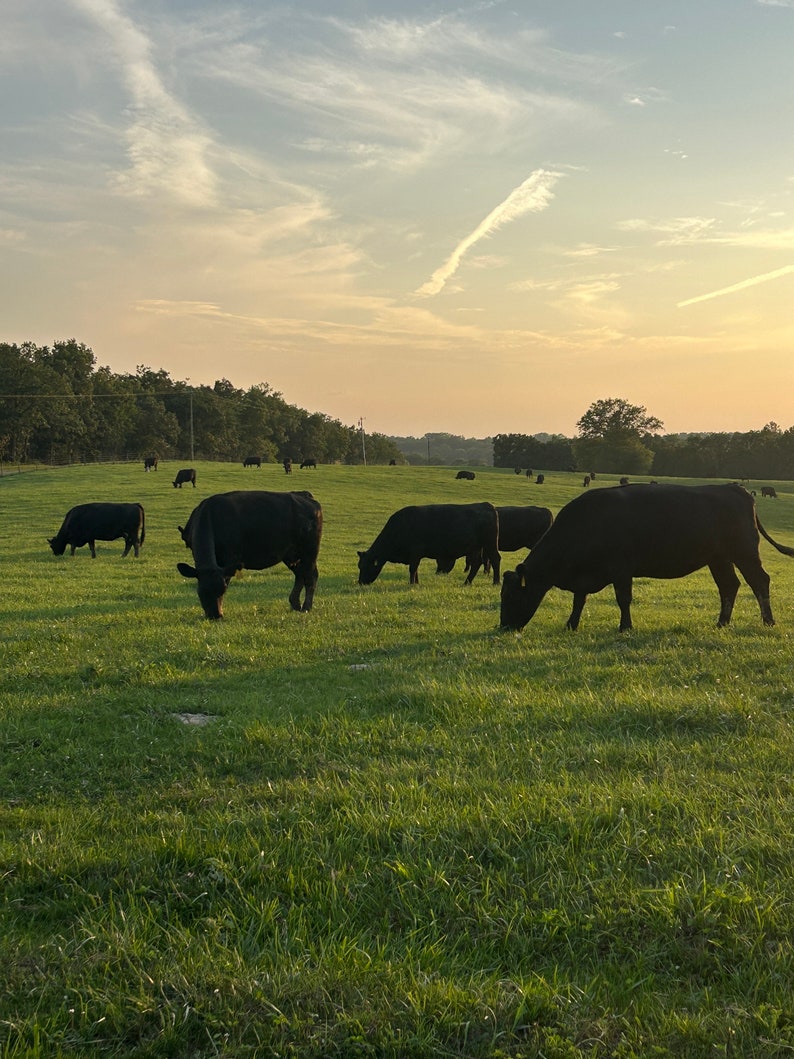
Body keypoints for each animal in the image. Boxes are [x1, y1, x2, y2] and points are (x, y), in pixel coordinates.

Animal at [176, 489, 323, 618]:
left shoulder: (230, 559)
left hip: (309, 551)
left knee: (310, 576)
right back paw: (295, 604)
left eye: (223, 590)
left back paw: (306, 607)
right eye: (201, 592)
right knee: (300, 575)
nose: (215, 616)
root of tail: (305, 495)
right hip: (291, 554)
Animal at [359, 504, 499, 588]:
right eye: (359, 566)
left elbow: (413, 569)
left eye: (366, 566)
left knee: (495, 559)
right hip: (476, 547)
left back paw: (496, 582)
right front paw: (416, 583)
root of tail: (487, 505)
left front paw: (412, 584)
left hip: (490, 544)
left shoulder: (415, 552)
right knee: (477, 563)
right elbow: (415, 570)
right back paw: (467, 582)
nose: (360, 582)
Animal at [503, 485, 794, 631]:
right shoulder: (586, 575)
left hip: (744, 552)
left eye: (513, 595)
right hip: (719, 558)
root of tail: (735, 488)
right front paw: (571, 625)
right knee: (729, 586)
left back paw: (768, 621)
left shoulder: (621, 569)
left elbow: (623, 599)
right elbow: (579, 600)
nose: (504, 627)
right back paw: (722, 623)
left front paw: (625, 627)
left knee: (759, 581)